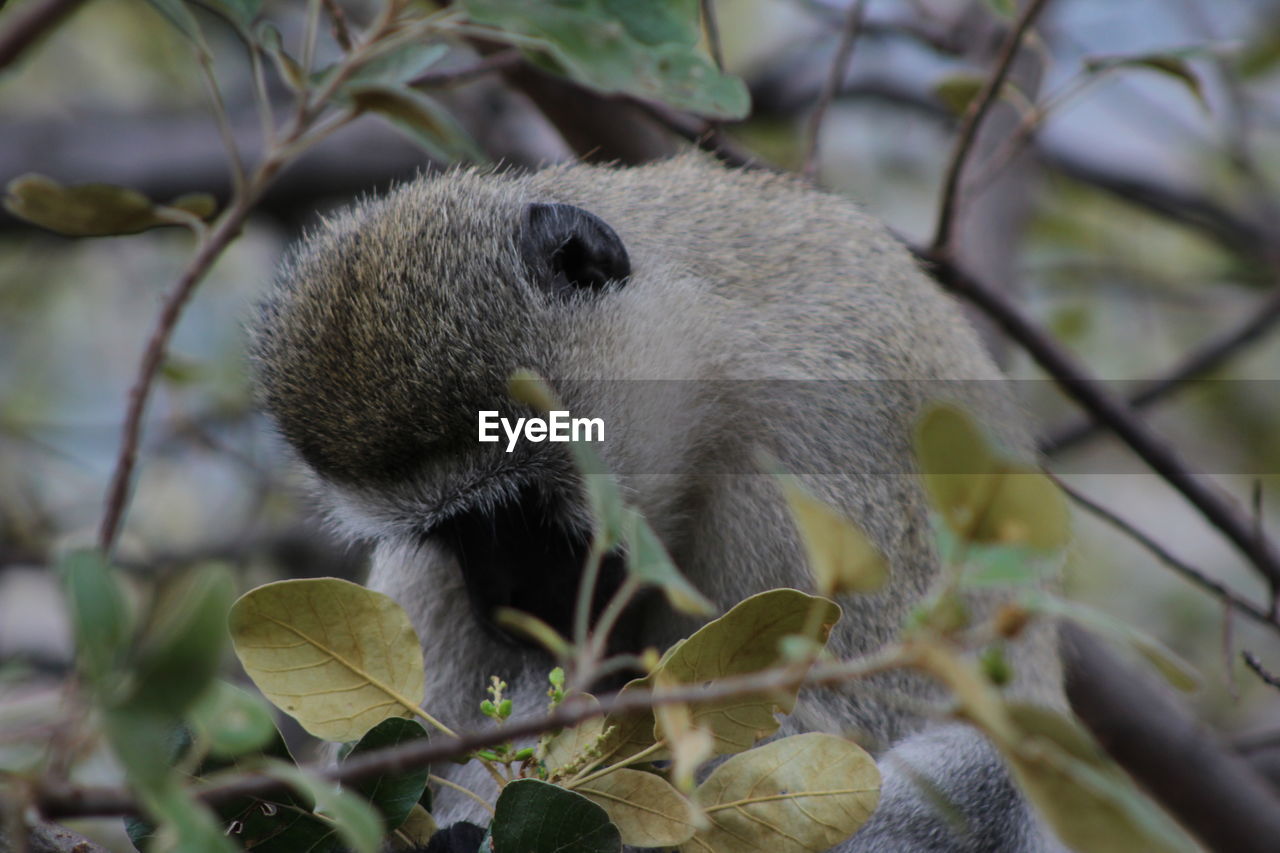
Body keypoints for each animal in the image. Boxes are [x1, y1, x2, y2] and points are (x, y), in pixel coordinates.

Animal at [252, 154, 1070, 850]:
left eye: (514, 510)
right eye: (451, 533)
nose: (502, 599)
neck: (713, 355)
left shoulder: (826, 452)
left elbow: (853, 723)